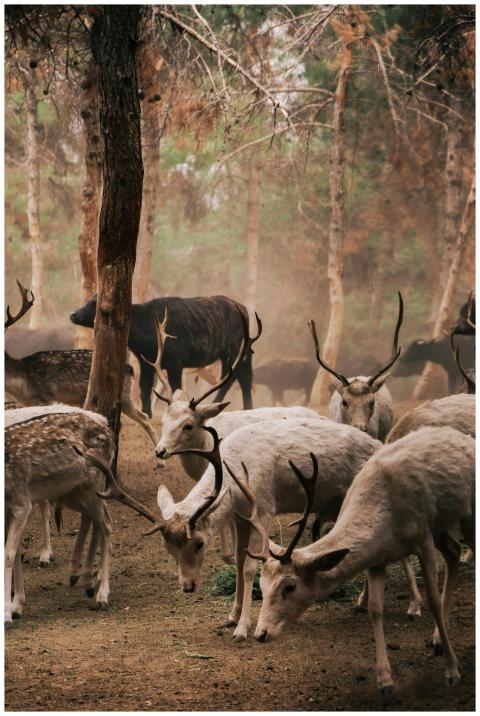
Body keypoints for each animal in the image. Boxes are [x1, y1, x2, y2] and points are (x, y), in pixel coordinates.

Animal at [5, 407, 116, 624]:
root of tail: (107, 429)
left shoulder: (21, 503)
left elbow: (8, 554)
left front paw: (6, 614)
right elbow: (15, 553)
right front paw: (16, 606)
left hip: (94, 483)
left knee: (106, 523)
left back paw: (102, 595)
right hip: (74, 490)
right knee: (96, 519)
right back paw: (85, 579)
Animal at [77, 418, 421, 642]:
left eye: (199, 543)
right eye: (168, 547)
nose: (187, 586)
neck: (235, 477)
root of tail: (380, 442)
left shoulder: (264, 509)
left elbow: (250, 567)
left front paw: (243, 630)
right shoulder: (241, 518)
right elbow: (240, 560)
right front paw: (229, 618)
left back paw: (414, 606)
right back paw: (362, 602)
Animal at [233, 426, 474, 697]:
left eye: (290, 586)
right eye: (261, 587)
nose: (261, 633)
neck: (388, 520)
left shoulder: (423, 538)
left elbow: (432, 599)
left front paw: (452, 672)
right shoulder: (377, 559)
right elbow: (375, 610)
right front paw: (384, 681)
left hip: (465, 515)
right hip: (442, 528)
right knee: (454, 551)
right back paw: (437, 639)